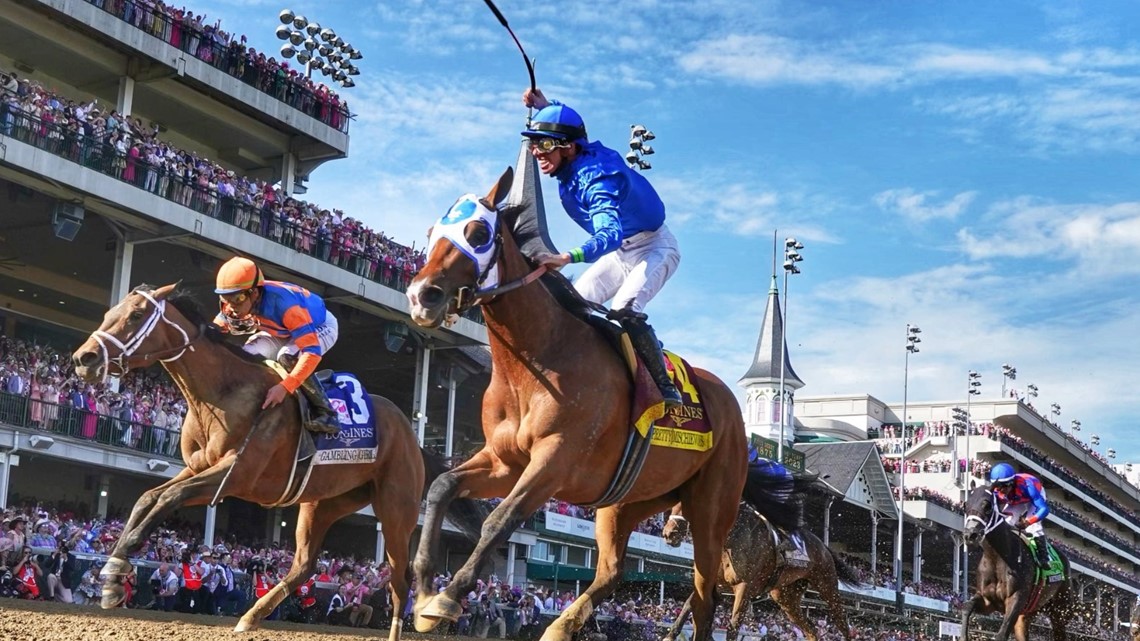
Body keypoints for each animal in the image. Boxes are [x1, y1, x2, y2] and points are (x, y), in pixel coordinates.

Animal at [71, 282, 481, 634]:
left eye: (136, 315)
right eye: (111, 312)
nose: (83, 358)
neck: (224, 391)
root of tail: (413, 438)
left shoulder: (233, 476)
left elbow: (169, 497)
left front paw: (117, 568)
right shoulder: (198, 467)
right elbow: (147, 498)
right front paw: (113, 574)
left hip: (396, 507)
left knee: (399, 576)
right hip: (323, 503)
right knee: (304, 565)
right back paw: (250, 616)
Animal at [405, 168, 761, 638]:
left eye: (478, 233)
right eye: (431, 234)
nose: (421, 295)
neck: (540, 358)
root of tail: (733, 411)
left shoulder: (555, 459)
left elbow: (499, 520)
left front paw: (449, 596)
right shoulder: (505, 461)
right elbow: (441, 486)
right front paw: (426, 592)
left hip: (711, 511)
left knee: (705, 598)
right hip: (626, 502)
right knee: (611, 572)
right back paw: (561, 625)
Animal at [962, 483, 1067, 638]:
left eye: (987, 505)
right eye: (965, 505)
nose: (970, 535)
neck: (998, 557)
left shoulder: (1016, 599)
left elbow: (1001, 634)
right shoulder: (988, 601)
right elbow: (966, 607)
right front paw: (963, 635)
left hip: (1060, 610)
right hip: (1027, 615)